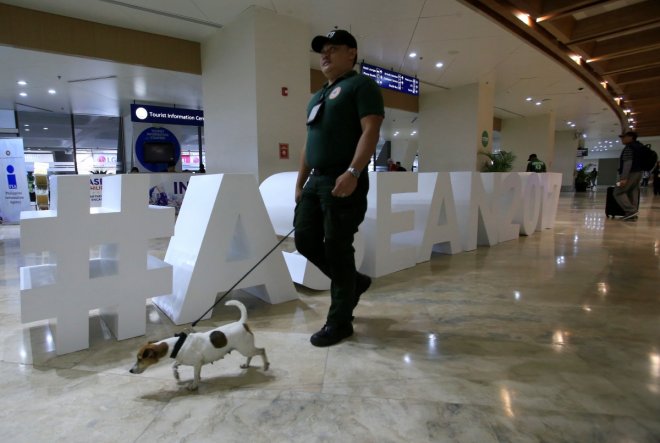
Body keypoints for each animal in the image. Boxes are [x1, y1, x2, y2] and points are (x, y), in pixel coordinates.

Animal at [129, 300, 268, 390]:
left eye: (140, 359)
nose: (130, 371)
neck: (177, 345)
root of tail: (241, 323)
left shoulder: (196, 362)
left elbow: (195, 375)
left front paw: (194, 385)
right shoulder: (186, 360)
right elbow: (174, 365)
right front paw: (177, 375)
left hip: (245, 348)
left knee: (261, 350)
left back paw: (266, 365)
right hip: (246, 348)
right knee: (252, 354)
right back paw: (246, 365)